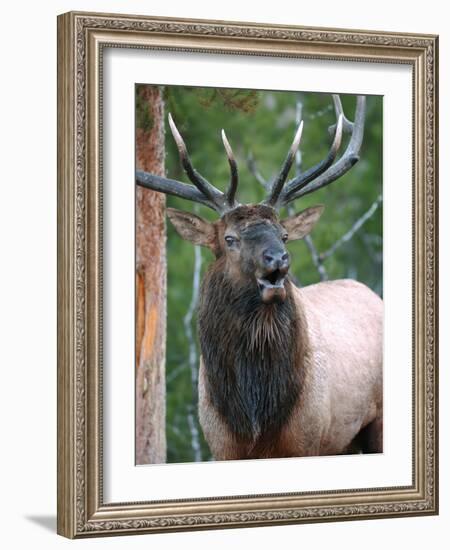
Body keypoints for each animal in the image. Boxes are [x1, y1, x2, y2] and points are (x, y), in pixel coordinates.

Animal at [137, 95, 384, 462]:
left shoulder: (307, 442)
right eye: (230, 239)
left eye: (284, 234)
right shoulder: (221, 446)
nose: (278, 259)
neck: (255, 418)